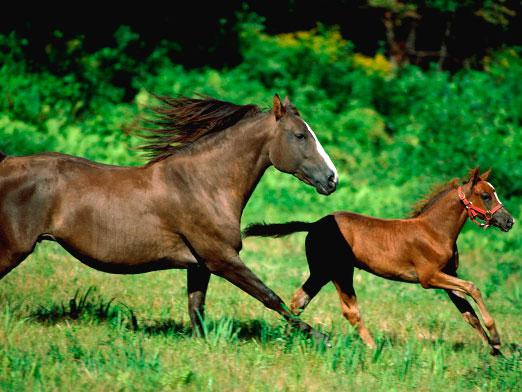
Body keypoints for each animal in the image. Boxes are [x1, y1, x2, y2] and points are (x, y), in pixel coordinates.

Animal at [0, 93, 338, 338]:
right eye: (300, 135)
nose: (332, 179)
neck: (203, 185)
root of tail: (6, 163)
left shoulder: (200, 266)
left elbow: (196, 310)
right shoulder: (222, 258)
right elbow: (270, 296)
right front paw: (320, 337)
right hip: (13, 249)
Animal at [244, 168, 512, 356]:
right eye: (486, 195)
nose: (509, 221)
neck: (434, 231)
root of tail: (314, 225)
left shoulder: (448, 276)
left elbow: (469, 313)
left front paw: (496, 352)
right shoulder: (429, 278)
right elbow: (472, 288)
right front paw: (496, 337)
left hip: (321, 271)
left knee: (299, 300)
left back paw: (289, 337)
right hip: (340, 271)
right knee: (350, 310)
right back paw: (373, 348)